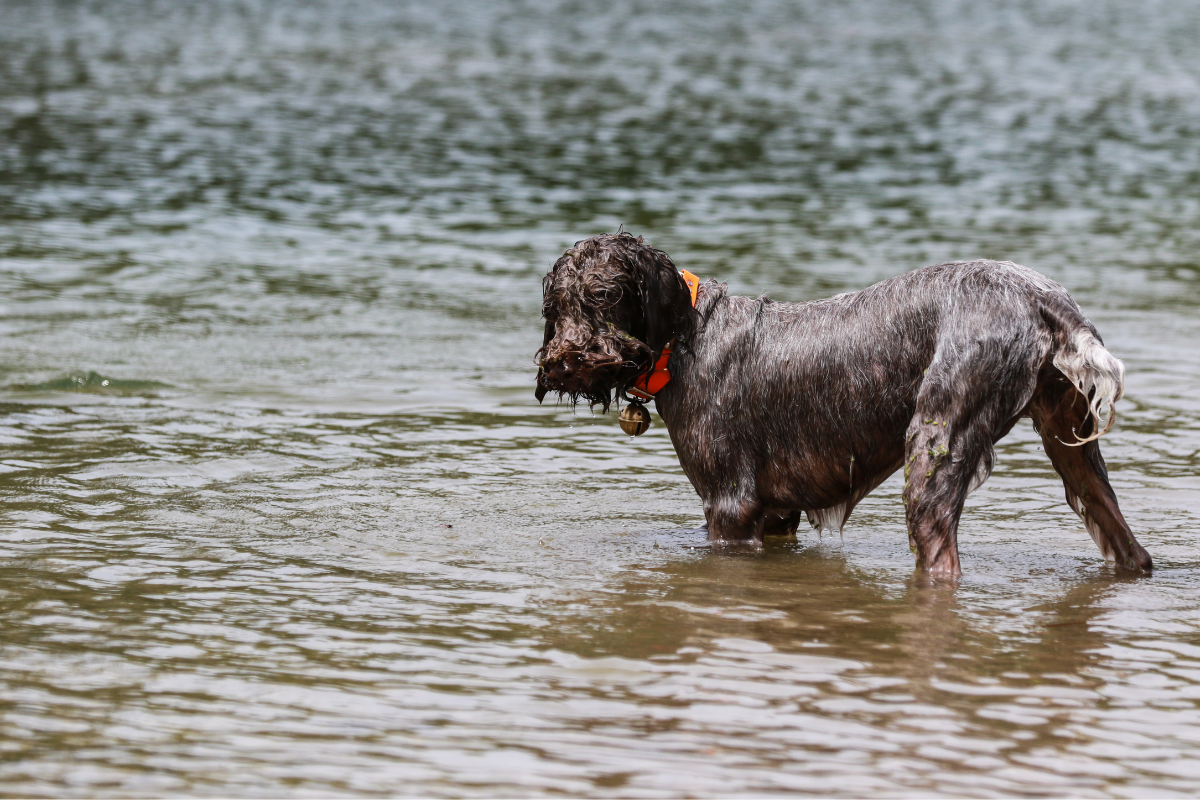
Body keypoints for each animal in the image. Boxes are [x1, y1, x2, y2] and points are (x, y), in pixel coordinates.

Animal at [535, 230, 1152, 575]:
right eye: (557, 303)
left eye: (604, 296)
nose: (563, 361)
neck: (687, 336)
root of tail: (1043, 299)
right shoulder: (775, 515)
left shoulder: (730, 507)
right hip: (1073, 450)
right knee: (1131, 549)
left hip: (933, 451)